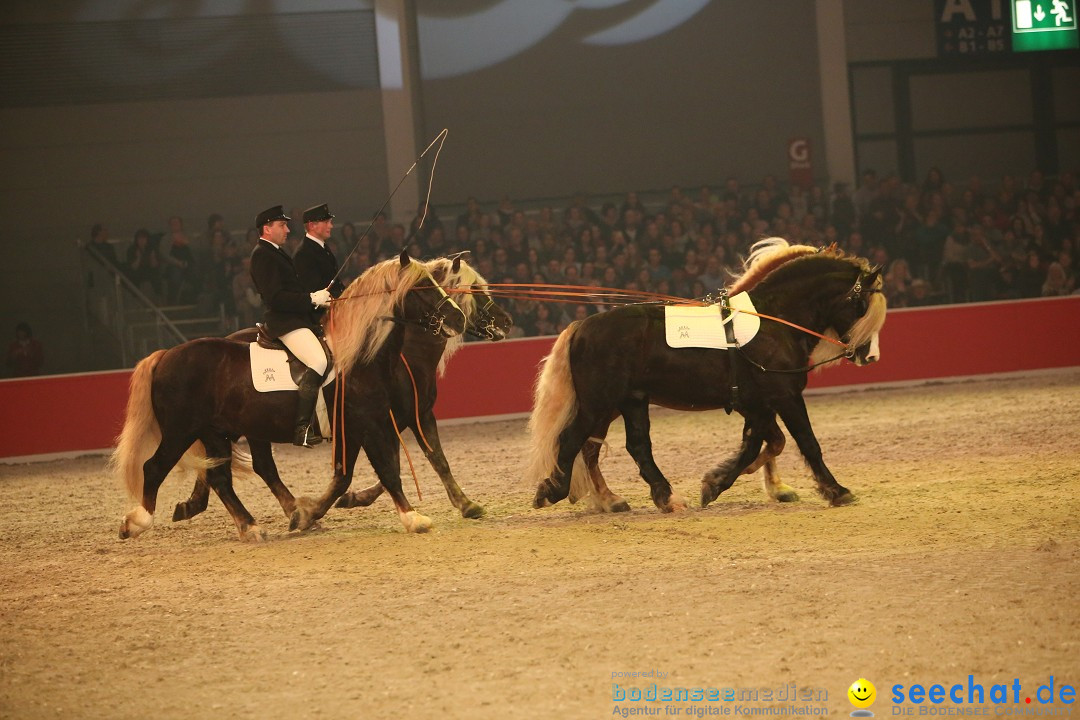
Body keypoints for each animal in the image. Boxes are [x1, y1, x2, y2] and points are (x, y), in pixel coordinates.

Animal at [113, 253, 464, 539]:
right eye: (422, 287)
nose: (458, 318)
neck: (361, 356)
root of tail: (166, 355)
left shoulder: (356, 427)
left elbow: (345, 476)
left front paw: (306, 514)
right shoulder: (370, 423)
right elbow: (388, 470)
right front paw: (414, 518)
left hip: (215, 432)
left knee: (222, 476)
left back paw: (251, 526)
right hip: (181, 430)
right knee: (155, 468)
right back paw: (137, 523)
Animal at [171, 255, 514, 526]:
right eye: (474, 290)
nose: (506, 322)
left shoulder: (414, 416)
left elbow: (434, 459)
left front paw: (466, 504)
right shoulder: (379, 421)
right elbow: (388, 466)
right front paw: (350, 501)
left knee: (242, 466)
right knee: (247, 466)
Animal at [522, 239, 885, 515]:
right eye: (861, 304)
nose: (869, 356)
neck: (774, 320)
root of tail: (582, 326)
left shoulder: (758, 404)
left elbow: (757, 445)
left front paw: (715, 483)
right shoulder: (785, 396)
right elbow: (807, 442)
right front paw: (837, 490)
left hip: (630, 401)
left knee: (631, 446)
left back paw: (658, 497)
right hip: (599, 403)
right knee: (573, 440)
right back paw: (554, 491)